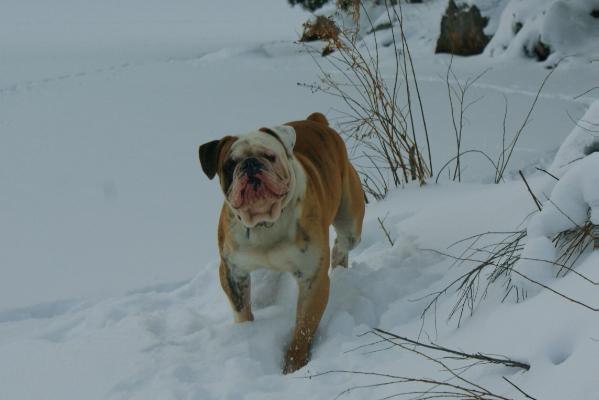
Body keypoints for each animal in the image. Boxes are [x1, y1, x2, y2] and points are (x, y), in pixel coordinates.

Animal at [199, 111, 366, 372]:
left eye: (270, 156)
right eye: (230, 164)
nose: (250, 164)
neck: (265, 222)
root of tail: (316, 120)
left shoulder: (312, 278)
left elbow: (303, 328)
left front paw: (294, 365)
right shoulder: (232, 271)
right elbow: (241, 308)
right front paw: (246, 334)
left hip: (351, 221)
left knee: (343, 245)